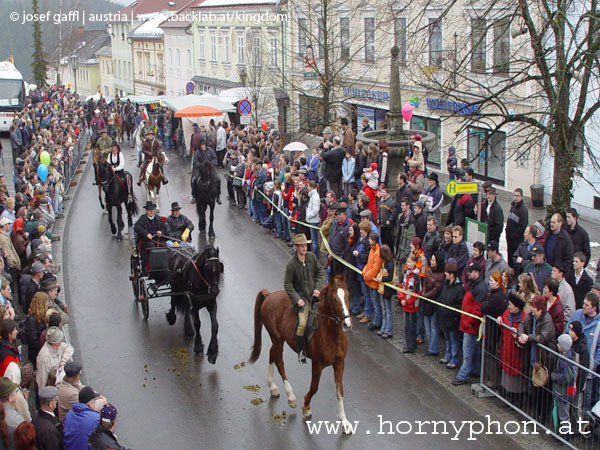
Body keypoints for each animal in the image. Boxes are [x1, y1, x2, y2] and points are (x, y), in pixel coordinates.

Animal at [247, 274, 354, 432]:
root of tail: (269, 295)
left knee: (272, 353)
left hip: (278, 340)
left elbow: (339, 391)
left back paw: (273, 387)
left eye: (348, 295)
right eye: (334, 299)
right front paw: (306, 407)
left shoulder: (340, 363)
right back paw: (291, 397)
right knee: (279, 362)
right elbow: (314, 388)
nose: (347, 324)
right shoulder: (317, 364)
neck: (331, 334)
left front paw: (344, 421)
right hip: (277, 339)